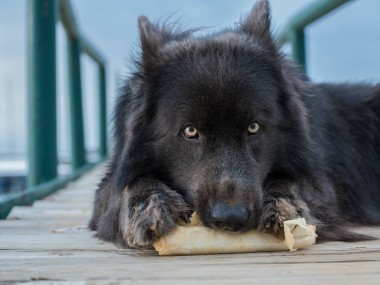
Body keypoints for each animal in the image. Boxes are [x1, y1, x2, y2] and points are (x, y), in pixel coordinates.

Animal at [90, 0, 380, 247]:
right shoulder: (107, 187)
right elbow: (127, 186)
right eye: (190, 131)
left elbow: (293, 182)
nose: (231, 218)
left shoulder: (321, 184)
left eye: (254, 128)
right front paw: (149, 207)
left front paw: (284, 207)